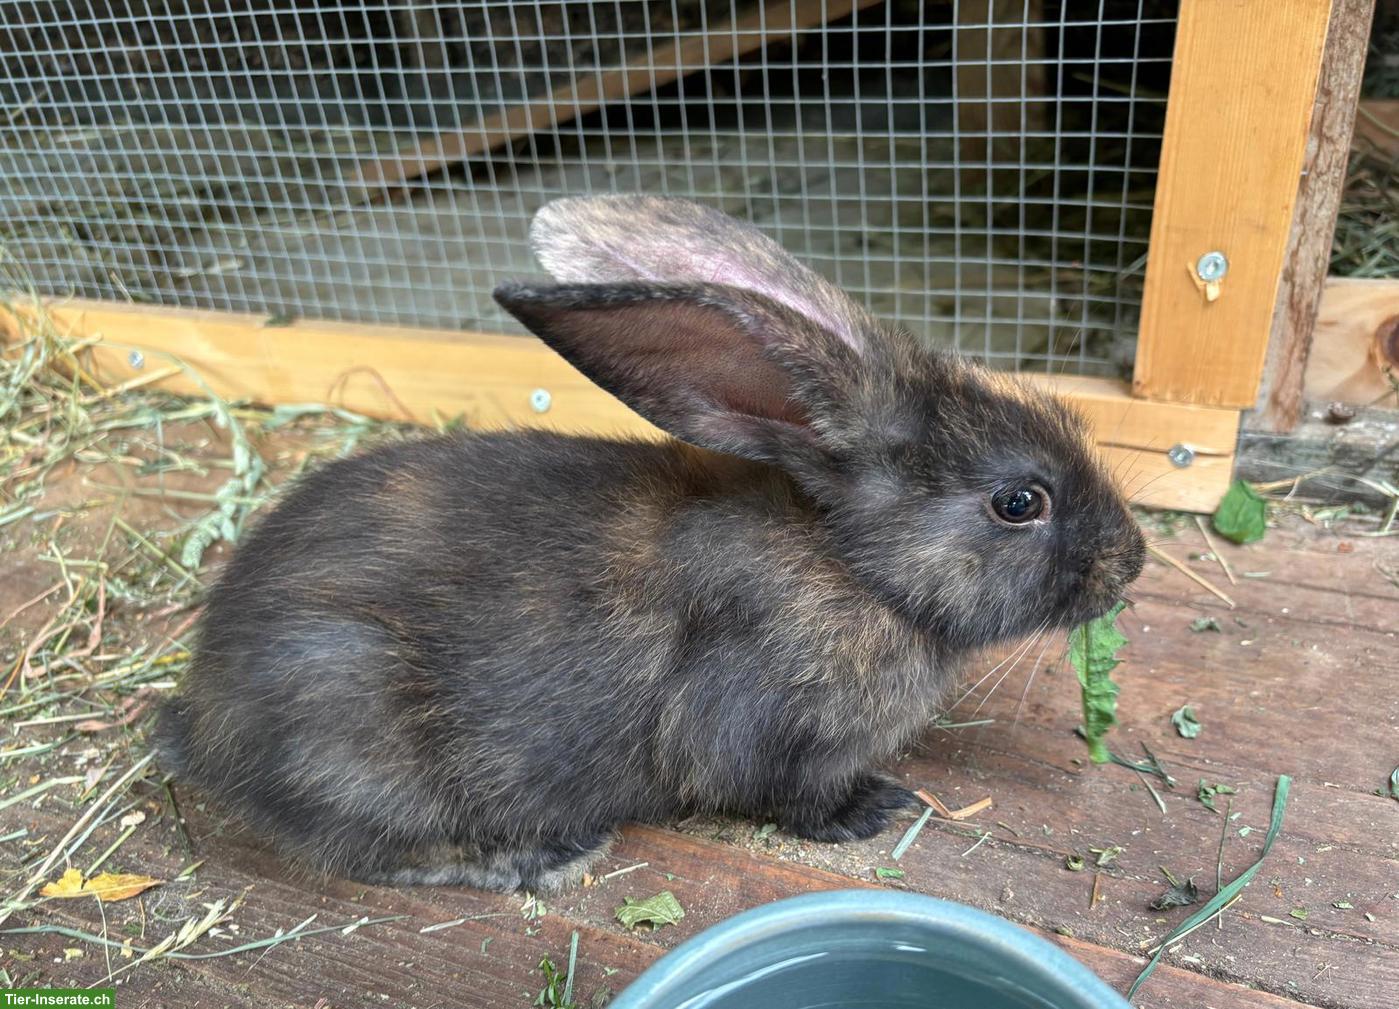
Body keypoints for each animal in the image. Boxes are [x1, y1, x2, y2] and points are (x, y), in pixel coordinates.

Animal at [155, 195, 1145, 893]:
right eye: (1018, 502)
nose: (1128, 562)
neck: (853, 565)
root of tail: (200, 721)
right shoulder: (761, 729)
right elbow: (785, 794)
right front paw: (875, 806)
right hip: (347, 709)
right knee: (373, 850)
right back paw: (539, 859)